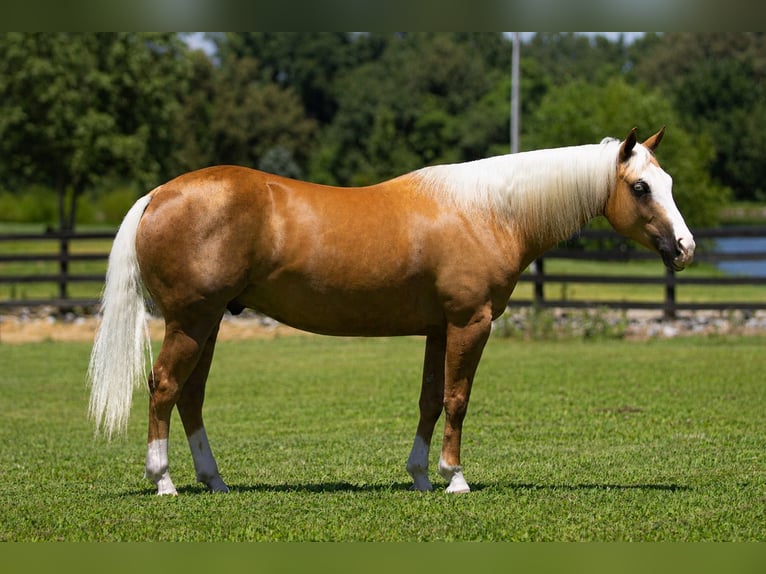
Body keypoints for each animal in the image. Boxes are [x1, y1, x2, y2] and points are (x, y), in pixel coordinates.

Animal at [88, 127, 695, 495]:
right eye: (641, 187)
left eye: (667, 181)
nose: (685, 248)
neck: (488, 210)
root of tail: (159, 194)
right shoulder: (470, 323)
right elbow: (457, 399)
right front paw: (455, 477)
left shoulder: (439, 328)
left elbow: (430, 399)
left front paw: (421, 476)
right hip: (190, 322)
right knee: (165, 387)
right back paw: (163, 480)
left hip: (209, 323)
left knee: (190, 396)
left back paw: (214, 480)